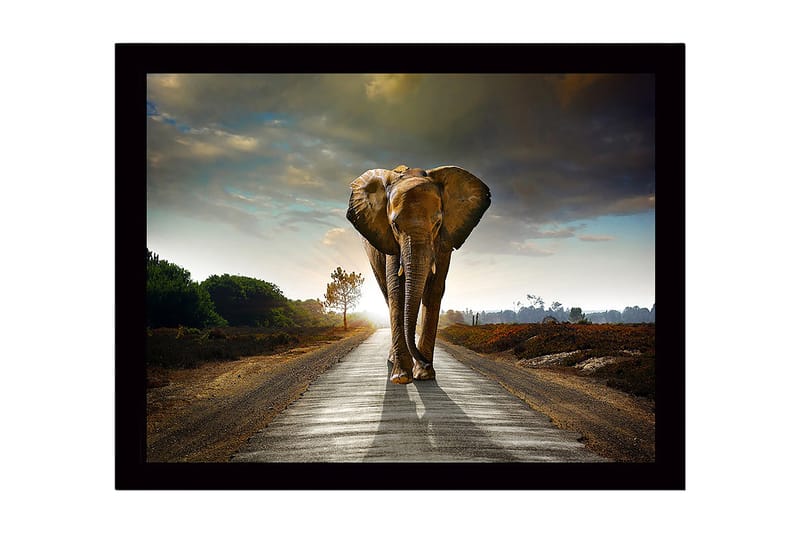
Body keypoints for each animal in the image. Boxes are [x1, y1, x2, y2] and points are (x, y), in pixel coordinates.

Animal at [346, 164, 491, 384]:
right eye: (395, 225)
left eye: (438, 224)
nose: (424, 361)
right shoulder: (389, 240)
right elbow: (397, 290)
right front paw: (401, 377)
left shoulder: (444, 241)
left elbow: (434, 291)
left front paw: (424, 375)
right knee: (387, 294)